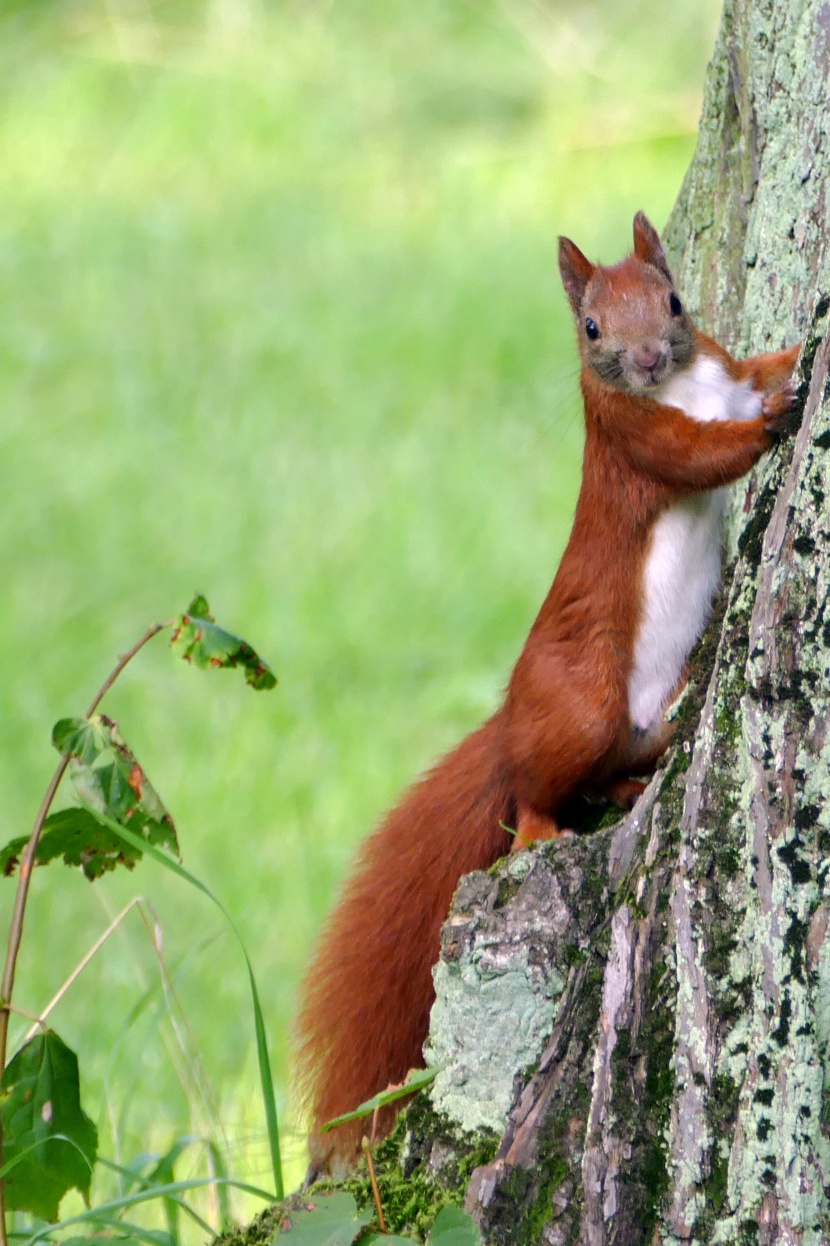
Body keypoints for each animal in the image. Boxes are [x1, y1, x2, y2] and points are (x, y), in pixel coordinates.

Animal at [295, 211, 797, 1166]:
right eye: (591, 328)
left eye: (674, 300)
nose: (646, 360)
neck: (683, 383)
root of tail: (509, 726)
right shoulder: (637, 440)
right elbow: (703, 457)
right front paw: (775, 424)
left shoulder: (723, 368)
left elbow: (759, 368)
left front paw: (796, 363)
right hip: (583, 705)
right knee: (536, 795)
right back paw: (541, 827)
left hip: (634, 719)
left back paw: (637, 780)